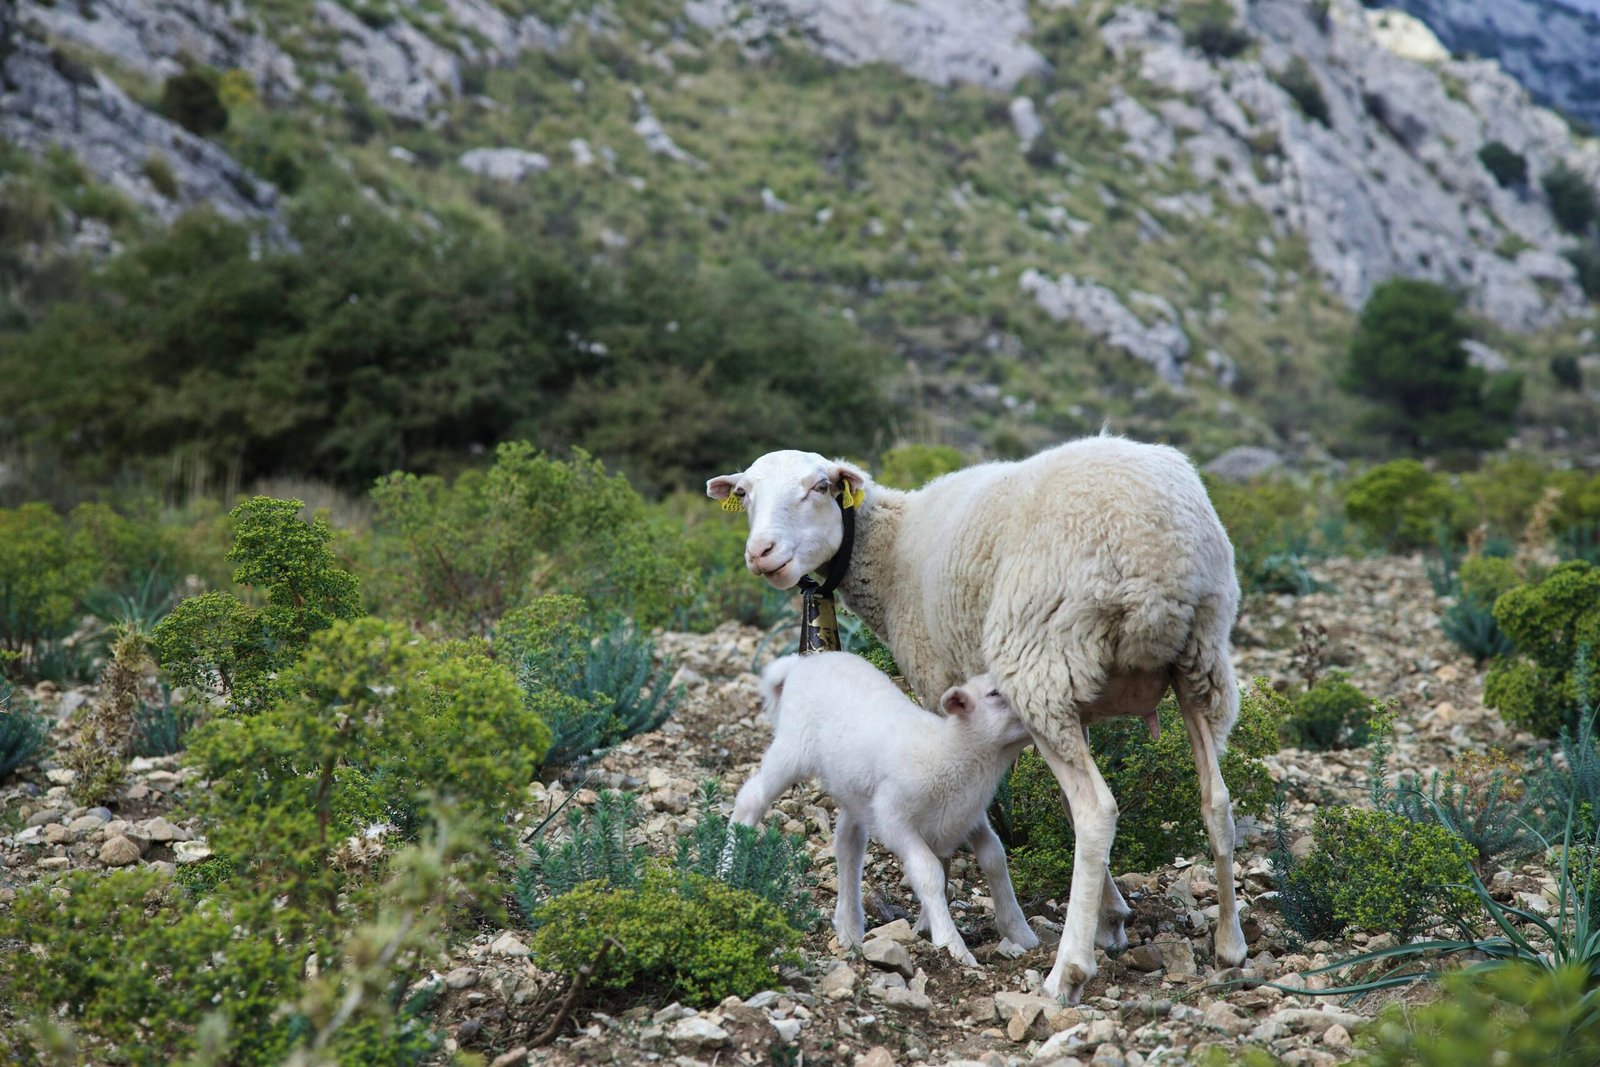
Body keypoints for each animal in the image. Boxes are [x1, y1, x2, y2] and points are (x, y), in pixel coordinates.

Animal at [732, 651, 1040, 965]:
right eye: (994, 694)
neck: (949, 753)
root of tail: (801, 662)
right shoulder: (894, 816)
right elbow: (928, 871)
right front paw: (951, 943)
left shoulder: (968, 818)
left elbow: (994, 857)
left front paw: (1019, 931)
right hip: (792, 748)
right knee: (751, 798)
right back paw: (728, 868)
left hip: (853, 790)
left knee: (847, 844)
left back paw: (849, 929)